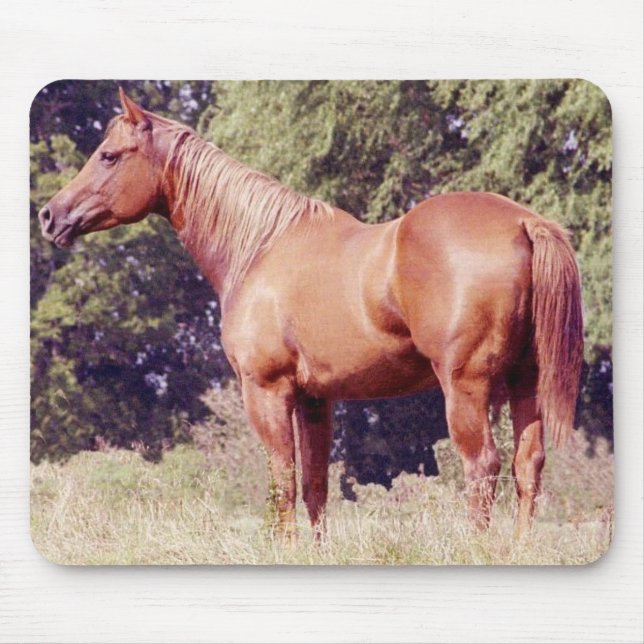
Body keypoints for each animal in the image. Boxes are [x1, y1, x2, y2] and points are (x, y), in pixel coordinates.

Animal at [38, 88, 583, 539]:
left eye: (108, 156)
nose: (49, 215)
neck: (260, 247)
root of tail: (525, 222)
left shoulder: (267, 391)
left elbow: (282, 483)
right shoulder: (316, 400)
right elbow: (315, 488)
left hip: (466, 386)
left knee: (482, 466)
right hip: (525, 381)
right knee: (527, 465)